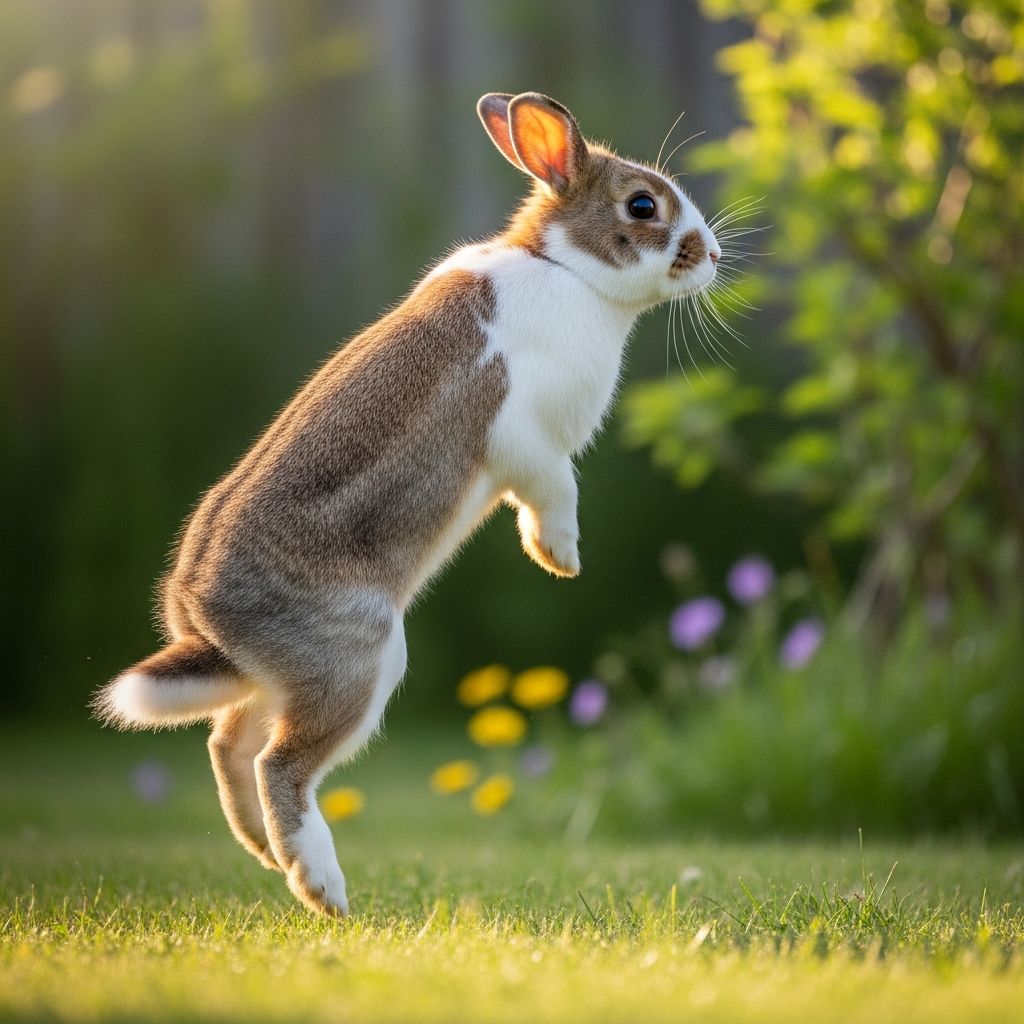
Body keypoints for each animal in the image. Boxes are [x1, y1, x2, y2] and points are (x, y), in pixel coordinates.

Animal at [92, 91, 721, 917]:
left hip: (285, 679)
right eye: (642, 205)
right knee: (279, 765)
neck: (564, 269)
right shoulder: (524, 438)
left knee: (228, 742)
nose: (713, 257)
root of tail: (204, 616)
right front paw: (560, 557)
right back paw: (321, 886)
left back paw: (264, 852)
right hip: (358, 660)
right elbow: (555, 491)